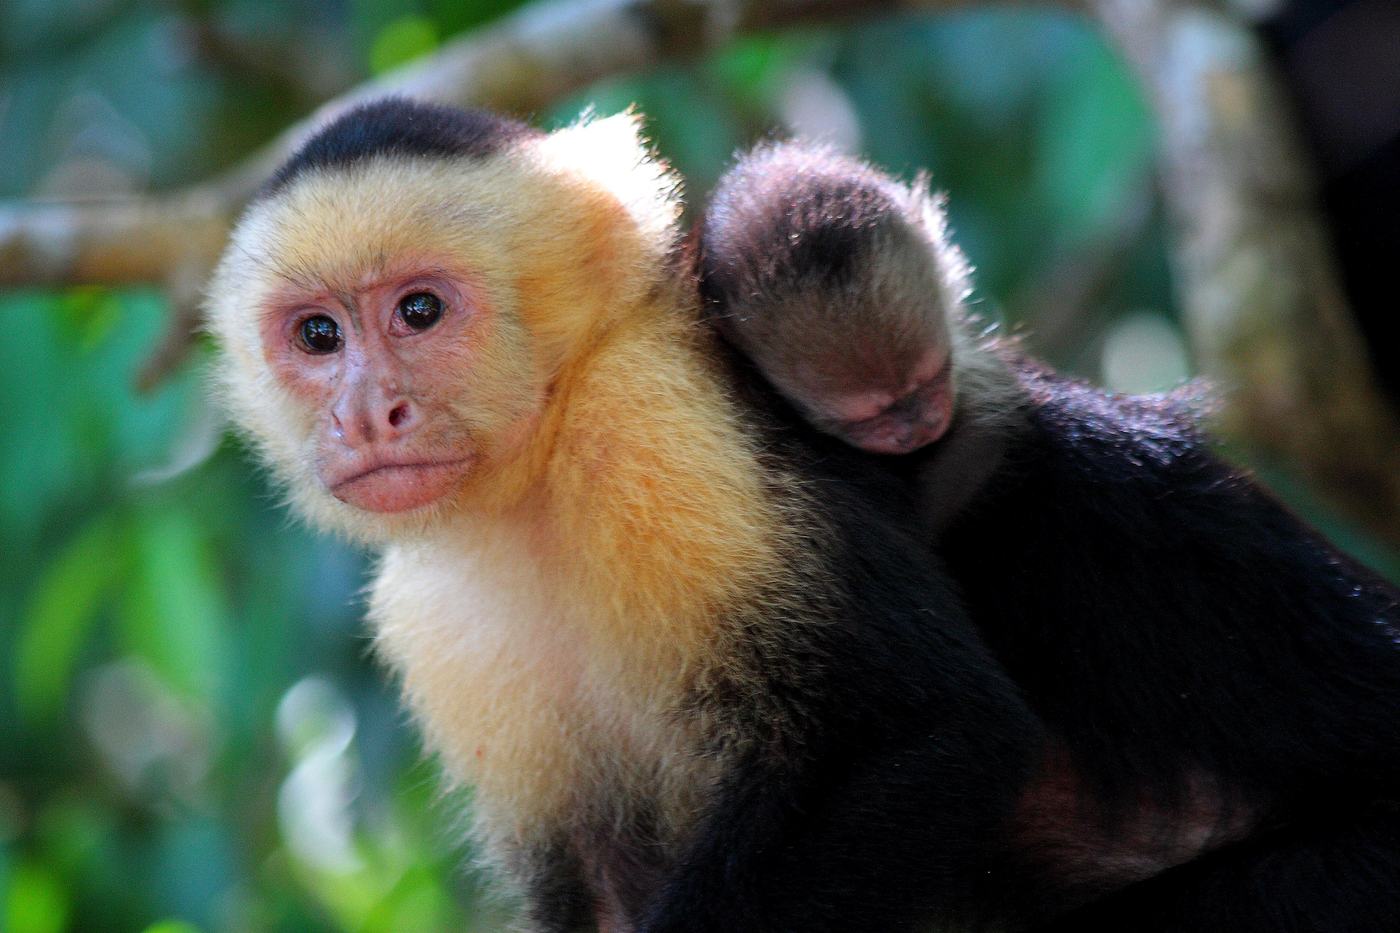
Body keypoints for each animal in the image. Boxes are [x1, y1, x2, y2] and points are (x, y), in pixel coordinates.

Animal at [206, 97, 1057, 933]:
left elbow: (932, 730)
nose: (366, 415)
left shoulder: (650, 420)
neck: (534, 481)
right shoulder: (432, 617)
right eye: (319, 334)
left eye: (419, 311)